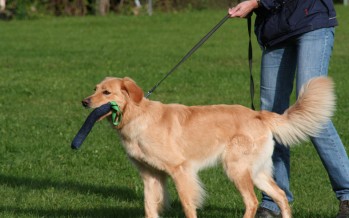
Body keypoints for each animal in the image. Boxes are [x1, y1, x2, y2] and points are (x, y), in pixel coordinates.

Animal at [81, 76, 334, 218]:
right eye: (94, 88)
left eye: (106, 92)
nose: (84, 101)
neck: (138, 116)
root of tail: (258, 114)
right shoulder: (150, 176)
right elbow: (149, 207)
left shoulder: (180, 170)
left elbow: (188, 205)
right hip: (257, 172)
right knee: (280, 195)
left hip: (236, 169)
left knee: (252, 202)